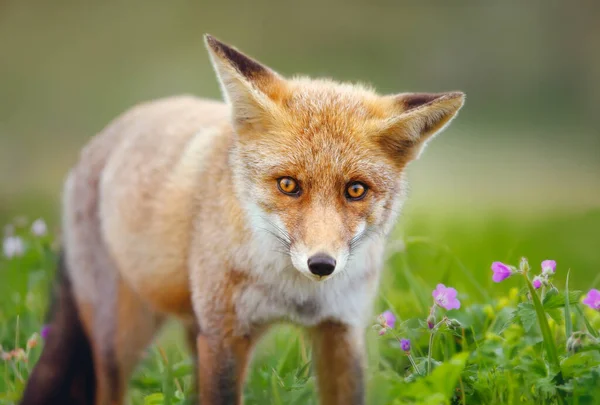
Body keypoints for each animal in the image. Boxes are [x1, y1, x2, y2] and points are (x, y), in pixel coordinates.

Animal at [21, 34, 464, 404]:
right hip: (122, 336)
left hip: (193, 328)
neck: (295, 295)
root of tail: (105, 136)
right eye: (288, 185)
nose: (322, 265)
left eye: (355, 190)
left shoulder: (341, 330)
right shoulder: (225, 336)